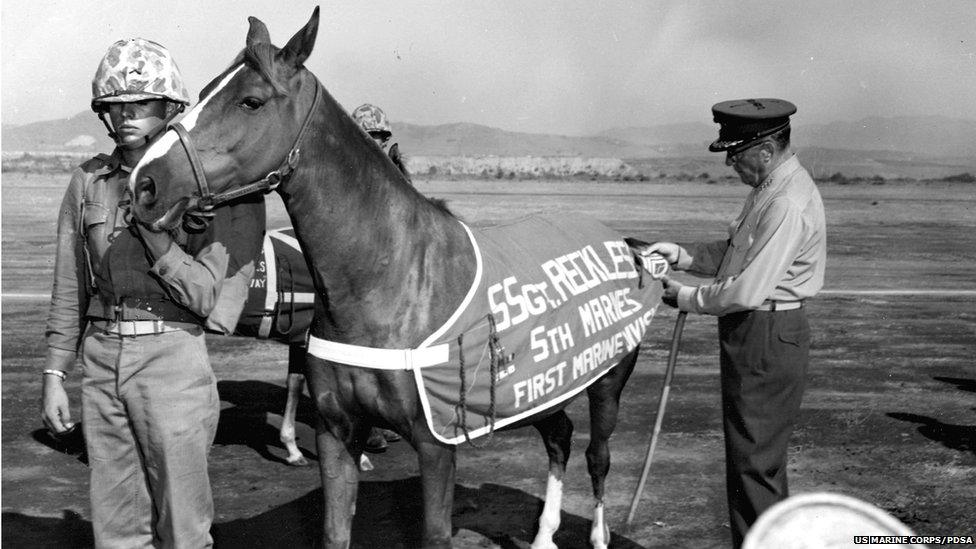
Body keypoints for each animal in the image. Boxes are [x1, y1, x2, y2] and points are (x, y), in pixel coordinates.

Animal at [128, 8, 659, 548]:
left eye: (250, 101)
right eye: (203, 91)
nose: (143, 183)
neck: (390, 284)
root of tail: (625, 245)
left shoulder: (436, 443)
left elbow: (435, 532)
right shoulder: (337, 431)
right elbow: (335, 529)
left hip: (608, 383)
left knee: (597, 455)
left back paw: (597, 534)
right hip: (546, 388)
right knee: (559, 436)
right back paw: (544, 534)